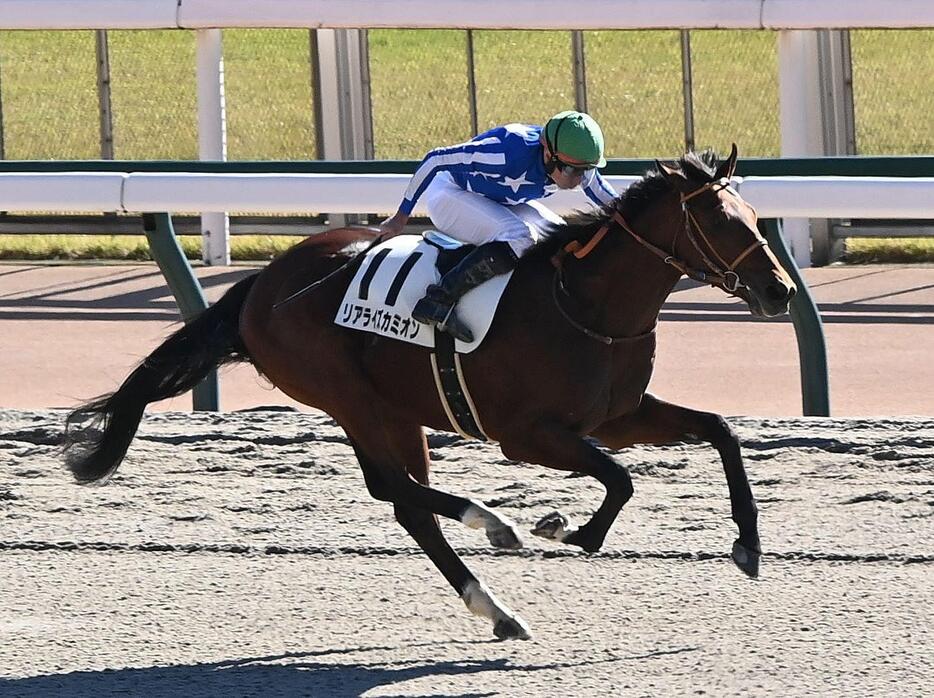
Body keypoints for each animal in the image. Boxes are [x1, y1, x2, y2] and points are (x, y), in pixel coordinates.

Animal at [64, 144, 796, 640]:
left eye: (757, 216)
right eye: (724, 223)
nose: (781, 290)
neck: (585, 304)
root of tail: (260, 284)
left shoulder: (617, 415)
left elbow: (721, 431)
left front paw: (749, 547)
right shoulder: (527, 435)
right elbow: (620, 478)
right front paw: (569, 529)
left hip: (393, 408)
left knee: (407, 503)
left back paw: (496, 608)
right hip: (348, 397)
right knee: (395, 489)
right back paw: (495, 527)